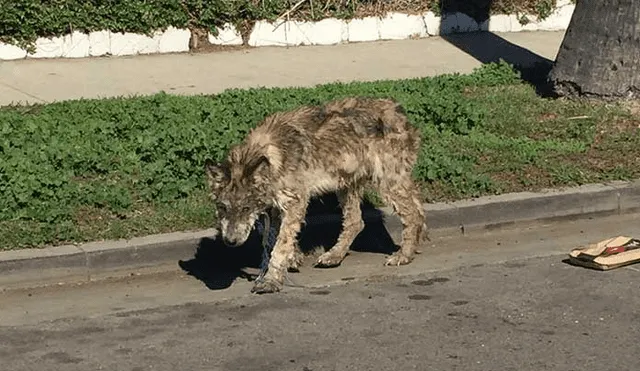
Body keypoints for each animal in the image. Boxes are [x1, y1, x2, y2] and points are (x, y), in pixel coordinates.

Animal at [204, 97, 424, 294]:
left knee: (411, 214)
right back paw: (334, 256)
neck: (269, 156)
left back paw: (403, 255)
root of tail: (399, 112)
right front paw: (293, 258)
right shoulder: (276, 207)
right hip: (347, 184)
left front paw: (271, 280)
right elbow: (274, 239)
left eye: (246, 208)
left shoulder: (295, 202)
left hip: (386, 182)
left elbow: (280, 245)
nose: (230, 241)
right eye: (222, 207)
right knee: (357, 221)